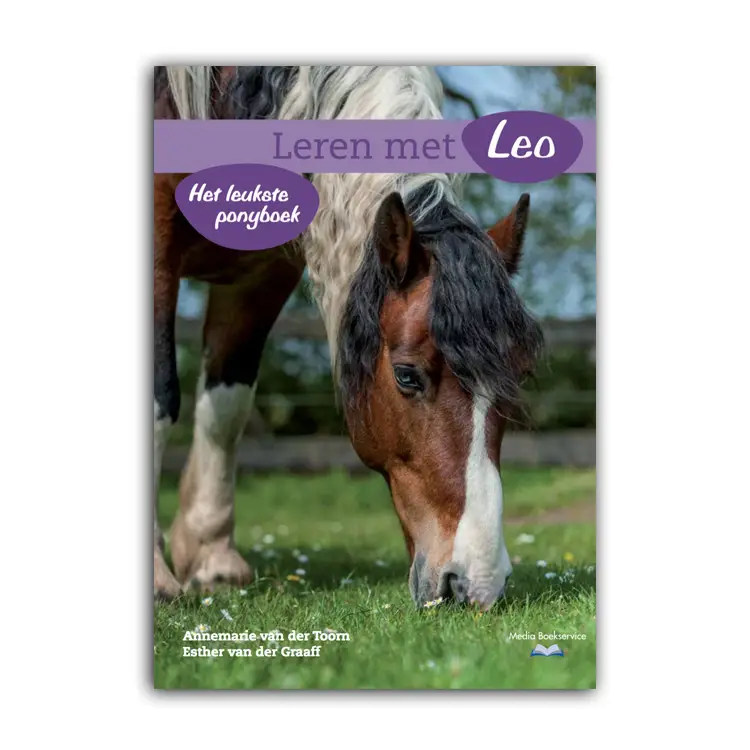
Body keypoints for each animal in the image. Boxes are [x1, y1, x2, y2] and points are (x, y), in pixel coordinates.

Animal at [153, 66, 544, 610]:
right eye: (406, 376)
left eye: (519, 377)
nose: (478, 583)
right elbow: (161, 396)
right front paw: (156, 576)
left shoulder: (264, 273)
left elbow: (225, 406)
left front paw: (212, 559)